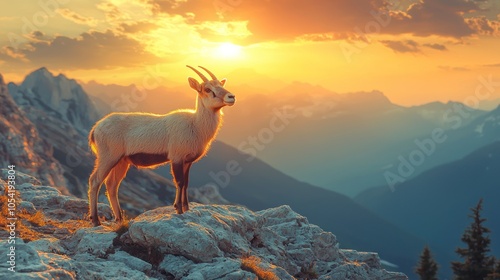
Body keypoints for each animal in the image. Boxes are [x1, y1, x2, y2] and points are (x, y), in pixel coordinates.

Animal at [88, 66, 236, 228]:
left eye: (220, 84)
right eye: (208, 89)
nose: (231, 97)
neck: (195, 124)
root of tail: (96, 128)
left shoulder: (187, 161)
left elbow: (186, 183)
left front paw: (186, 208)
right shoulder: (176, 158)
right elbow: (179, 182)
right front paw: (178, 209)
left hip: (121, 161)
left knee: (112, 185)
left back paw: (120, 219)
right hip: (108, 157)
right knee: (95, 180)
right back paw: (95, 220)